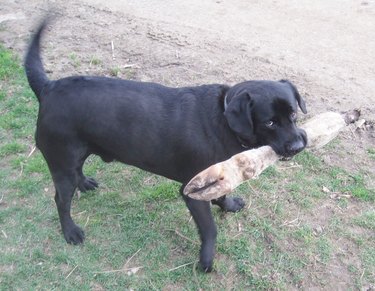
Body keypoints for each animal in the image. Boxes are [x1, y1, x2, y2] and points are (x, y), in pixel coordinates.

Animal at [24, 19, 308, 272]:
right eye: (270, 122)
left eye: (293, 114)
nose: (298, 145)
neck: (224, 119)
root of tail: (48, 87)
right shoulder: (191, 191)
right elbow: (210, 229)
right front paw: (206, 262)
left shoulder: (219, 176)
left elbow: (222, 194)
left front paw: (228, 206)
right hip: (61, 160)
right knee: (61, 199)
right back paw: (70, 231)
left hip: (76, 152)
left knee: (78, 170)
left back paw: (84, 184)